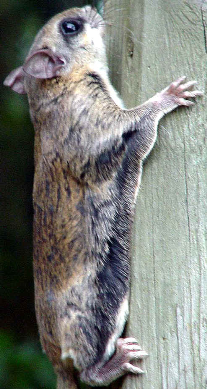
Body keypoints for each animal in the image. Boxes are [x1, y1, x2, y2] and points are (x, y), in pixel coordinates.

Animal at [4, 4, 203, 386]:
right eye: (70, 27)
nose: (87, 8)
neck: (58, 87)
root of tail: (55, 359)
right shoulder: (94, 121)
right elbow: (140, 119)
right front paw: (169, 95)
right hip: (99, 308)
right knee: (90, 372)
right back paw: (114, 362)